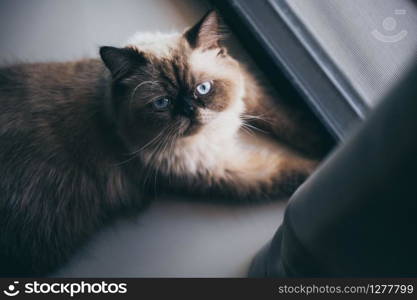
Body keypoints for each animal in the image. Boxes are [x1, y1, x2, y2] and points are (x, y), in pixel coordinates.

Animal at [0, 10, 332, 276]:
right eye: (163, 103)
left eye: (203, 89)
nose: (189, 110)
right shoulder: (226, 170)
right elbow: (290, 170)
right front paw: (324, 161)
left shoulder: (247, 94)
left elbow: (279, 114)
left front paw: (319, 140)